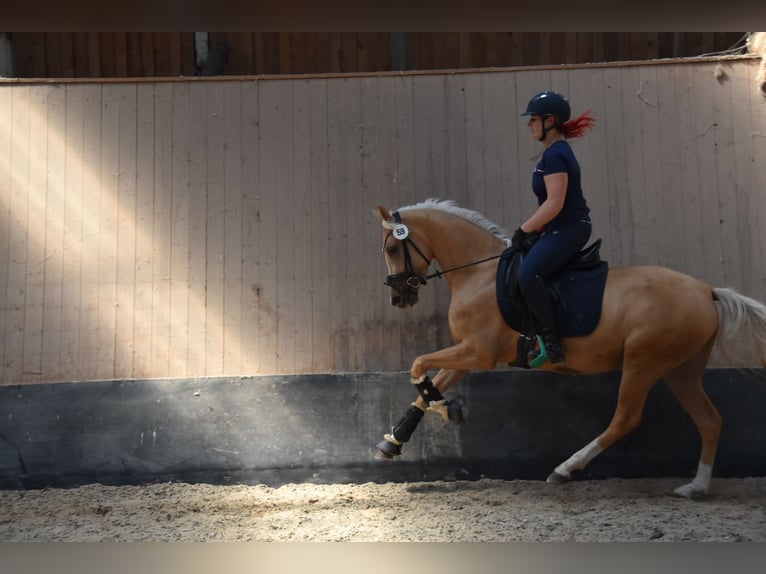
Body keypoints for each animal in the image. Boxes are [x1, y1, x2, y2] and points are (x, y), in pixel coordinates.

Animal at [374, 198, 766, 500]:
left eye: (393, 249)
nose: (398, 298)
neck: (479, 275)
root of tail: (706, 291)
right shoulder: (468, 353)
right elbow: (428, 385)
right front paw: (396, 440)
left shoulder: (479, 353)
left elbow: (418, 366)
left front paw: (448, 410)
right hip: (680, 370)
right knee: (710, 420)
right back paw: (695, 488)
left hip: (644, 362)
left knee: (626, 419)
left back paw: (564, 469)